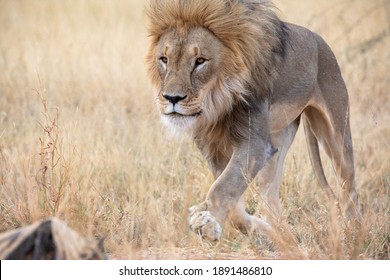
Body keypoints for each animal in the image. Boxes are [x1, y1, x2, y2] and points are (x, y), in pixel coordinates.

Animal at [145, 0, 360, 241]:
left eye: (200, 61)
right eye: (164, 60)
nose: (172, 98)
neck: (218, 101)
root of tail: (319, 39)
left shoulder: (254, 143)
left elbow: (223, 186)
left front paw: (205, 223)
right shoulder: (212, 147)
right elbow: (231, 199)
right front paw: (218, 220)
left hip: (335, 133)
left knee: (349, 187)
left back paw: (354, 233)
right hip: (277, 143)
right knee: (271, 196)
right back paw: (276, 233)